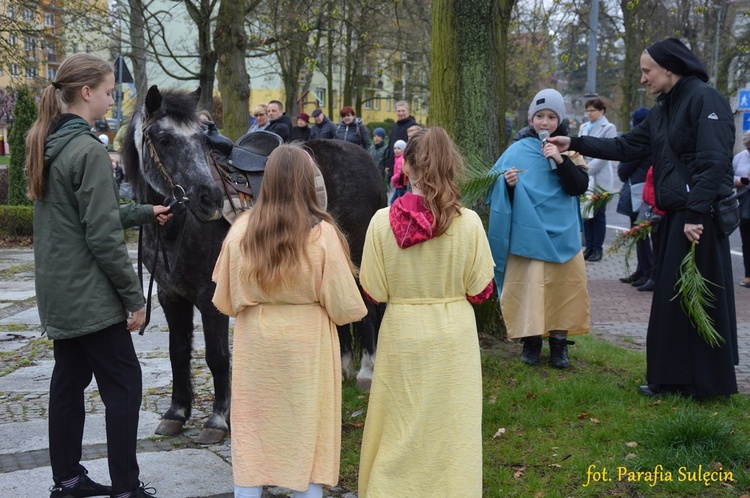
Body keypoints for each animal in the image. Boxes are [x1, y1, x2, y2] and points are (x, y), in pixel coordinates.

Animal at [123, 86, 388, 444]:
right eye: (164, 139)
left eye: (200, 138)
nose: (209, 199)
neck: (178, 226)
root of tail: (366, 158)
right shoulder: (170, 296)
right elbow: (177, 352)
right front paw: (176, 413)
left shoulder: (210, 296)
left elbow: (217, 356)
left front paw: (218, 420)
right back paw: (343, 368)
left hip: (358, 258)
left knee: (368, 310)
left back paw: (366, 372)